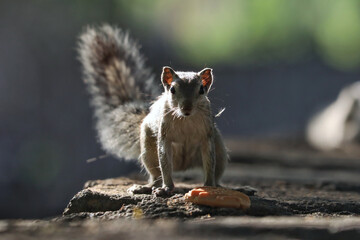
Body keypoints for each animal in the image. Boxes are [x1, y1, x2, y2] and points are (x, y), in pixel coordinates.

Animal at [78, 25, 229, 196]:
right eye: (172, 89)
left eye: (202, 90)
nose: (187, 108)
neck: (186, 118)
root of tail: (183, 166)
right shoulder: (164, 133)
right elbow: (164, 161)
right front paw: (167, 188)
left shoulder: (207, 135)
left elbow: (209, 162)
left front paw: (209, 185)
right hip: (148, 151)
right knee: (157, 175)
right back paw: (145, 187)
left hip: (220, 151)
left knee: (217, 169)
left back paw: (220, 185)